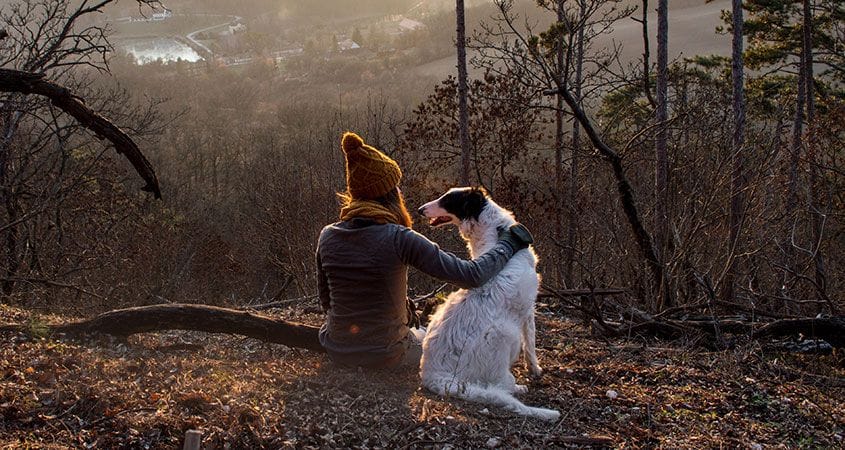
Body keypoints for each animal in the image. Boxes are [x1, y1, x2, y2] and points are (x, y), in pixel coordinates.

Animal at [418, 187, 560, 422]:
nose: (420, 210)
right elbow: (531, 345)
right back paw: (519, 387)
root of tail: (432, 374)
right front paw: (535, 370)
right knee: (503, 385)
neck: (498, 234)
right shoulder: (528, 309)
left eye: (447, 199)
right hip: (505, 335)